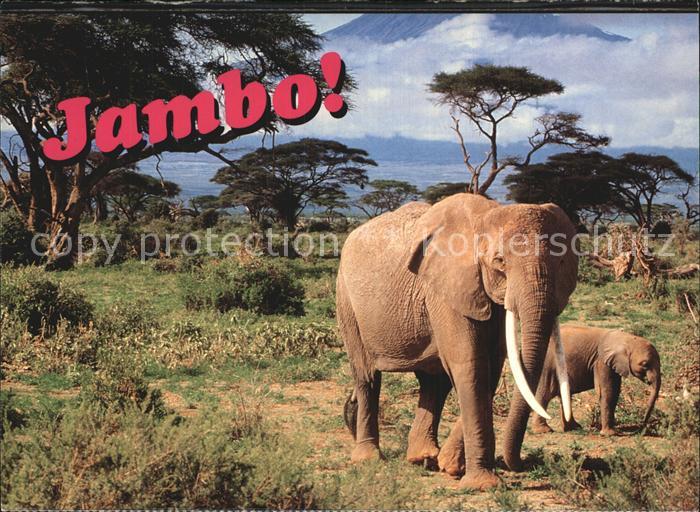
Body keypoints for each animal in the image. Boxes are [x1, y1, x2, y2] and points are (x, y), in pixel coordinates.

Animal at [336, 193, 578, 489]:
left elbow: (491, 367)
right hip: (346, 299)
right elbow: (471, 365)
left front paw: (451, 466)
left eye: (561, 264)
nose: (521, 464)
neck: (486, 216)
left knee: (433, 382)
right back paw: (369, 458)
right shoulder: (446, 288)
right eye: (500, 262)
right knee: (367, 377)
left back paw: (423, 457)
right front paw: (483, 484)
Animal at [435, 324, 662, 477]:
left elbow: (613, 391)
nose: (642, 426)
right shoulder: (601, 362)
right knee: (543, 395)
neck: (626, 338)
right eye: (644, 364)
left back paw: (573, 428)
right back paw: (545, 430)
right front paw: (610, 434)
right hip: (548, 366)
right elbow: (606, 391)